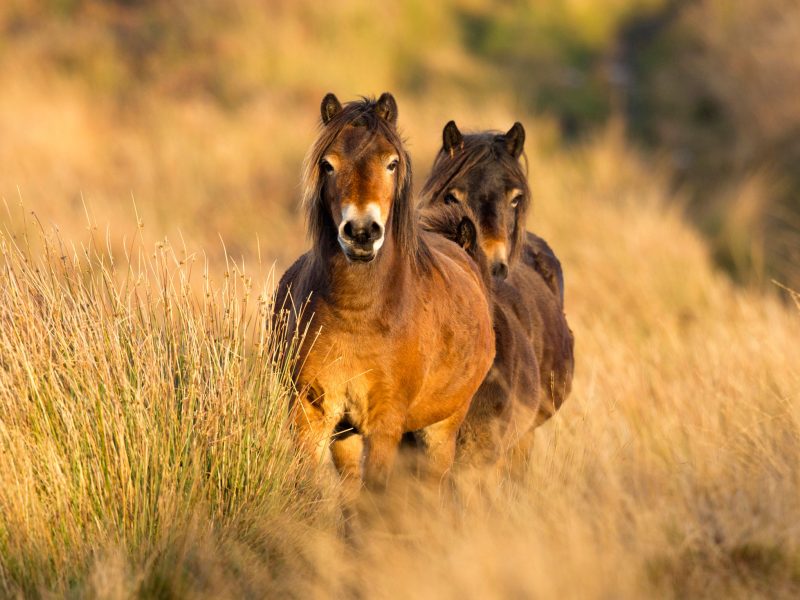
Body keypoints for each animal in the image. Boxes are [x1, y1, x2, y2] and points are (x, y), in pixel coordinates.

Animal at [275, 94, 495, 492]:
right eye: (328, 165)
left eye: (391, 163)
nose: (362, 232)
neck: (357, 313)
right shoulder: (312, 413)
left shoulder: (386, 422)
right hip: (345, 434)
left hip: (442, 428)